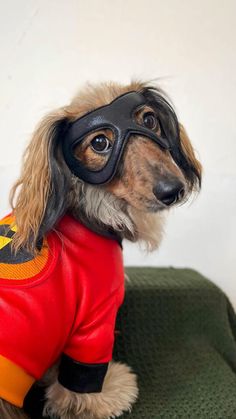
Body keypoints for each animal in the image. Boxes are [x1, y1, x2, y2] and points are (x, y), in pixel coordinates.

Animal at [0, 80, 201, 418]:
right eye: (99, 143)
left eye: (149, 120)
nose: (172, 190)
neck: (87, 211)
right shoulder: (96, 317)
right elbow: (81, 380)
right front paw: (108, 393)